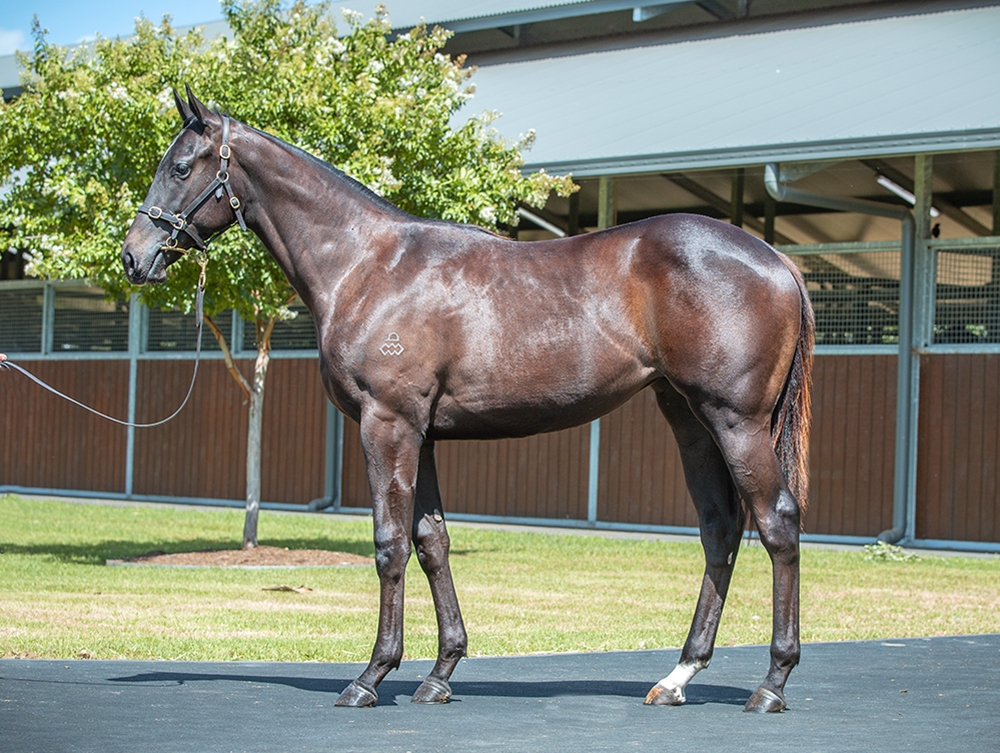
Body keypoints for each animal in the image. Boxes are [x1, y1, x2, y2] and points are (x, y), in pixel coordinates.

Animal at [123, 88, 812, 712]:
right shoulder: (422, 434)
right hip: (689, 419)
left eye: (180, 167)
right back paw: (677, 678)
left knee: (776, 522)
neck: (366, 265)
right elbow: (432, 543)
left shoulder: (388, 425)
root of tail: (777, 260)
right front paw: (440, 673)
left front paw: (371, 676)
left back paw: (772, 684)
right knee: (721, 527)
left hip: (736, 421)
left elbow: (390, 544)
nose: (134, 257)